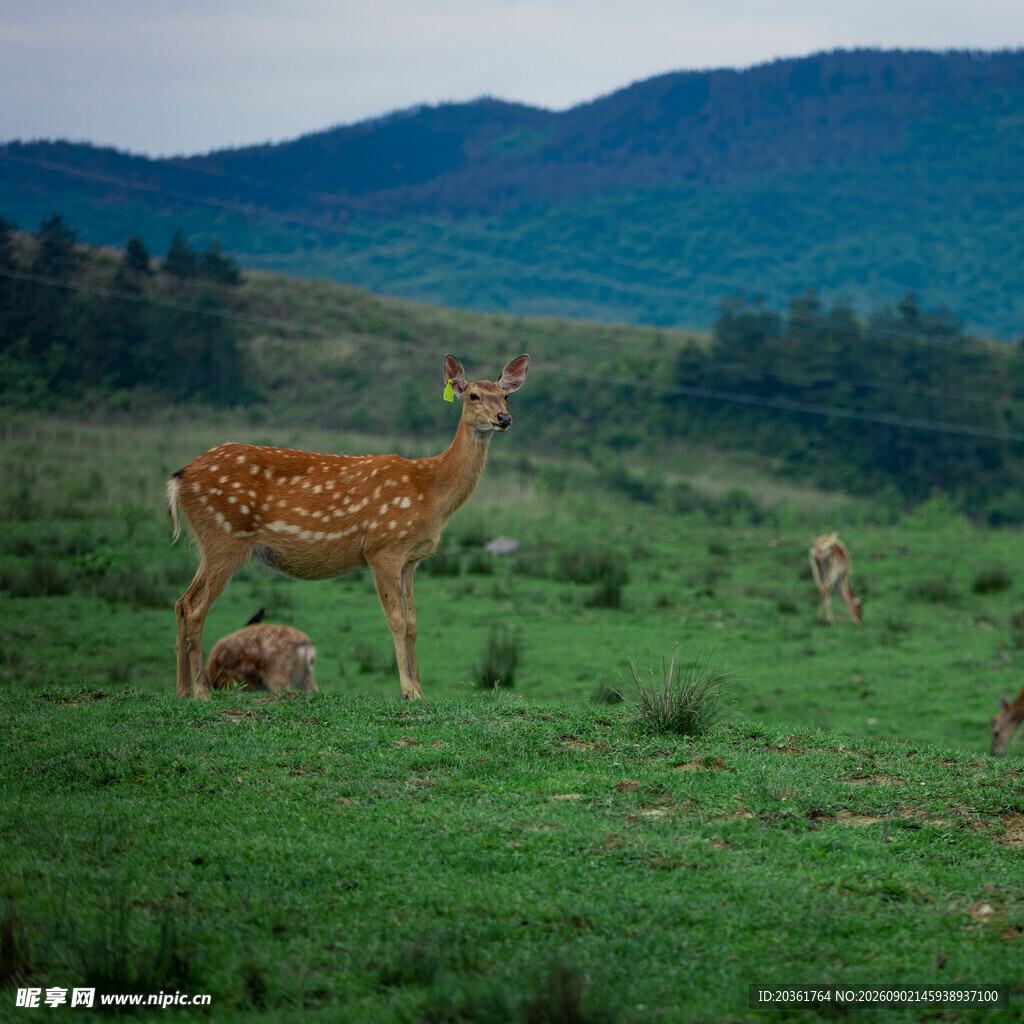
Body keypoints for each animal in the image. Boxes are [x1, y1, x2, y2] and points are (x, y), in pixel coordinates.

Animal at [167, 353, 529, 700]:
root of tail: (178, 478)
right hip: (224, 536)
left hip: (213, 541)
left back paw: (182, 691)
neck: (429, 491)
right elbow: (397, 620)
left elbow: (413, 623)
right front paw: (408, 692)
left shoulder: (410, 559)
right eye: (473, 395)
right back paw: (201, 692)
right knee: (195, 606)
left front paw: (421, 691)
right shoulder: (382, 548)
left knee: (182, 602)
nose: (504, 418)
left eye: (506, 396)